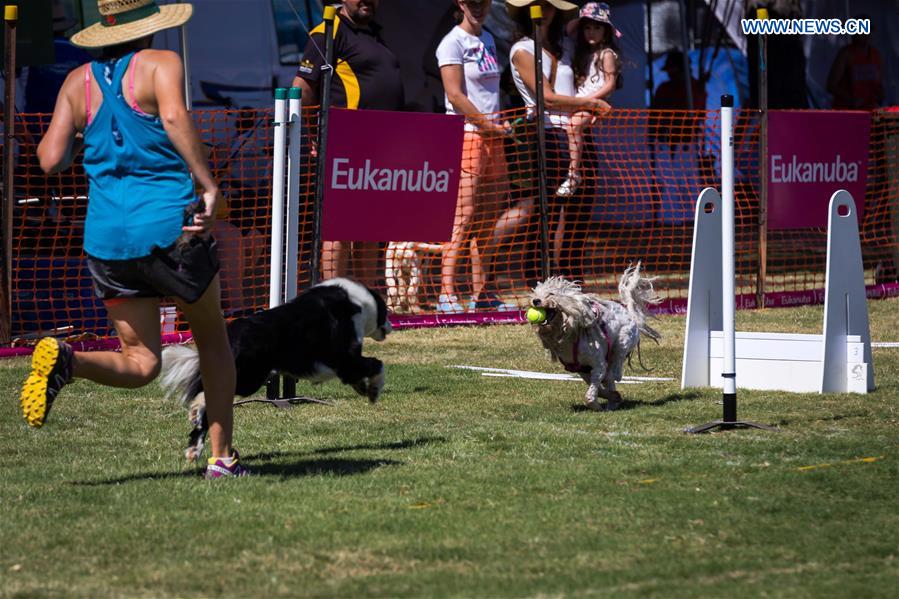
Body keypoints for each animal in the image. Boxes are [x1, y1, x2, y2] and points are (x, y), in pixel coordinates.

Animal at [528, 262, 660, 412]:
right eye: (536, 292)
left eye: (551, 293)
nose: (535, 300)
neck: (570, 334)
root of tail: (630, 314)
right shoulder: (581, 369)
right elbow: (598, 386)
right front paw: (612, 396)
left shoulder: (598, 364)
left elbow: (594, 388)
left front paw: (596, 404)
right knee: (609, 379)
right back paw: (612, 403)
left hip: (623, 343)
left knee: (614, 372)